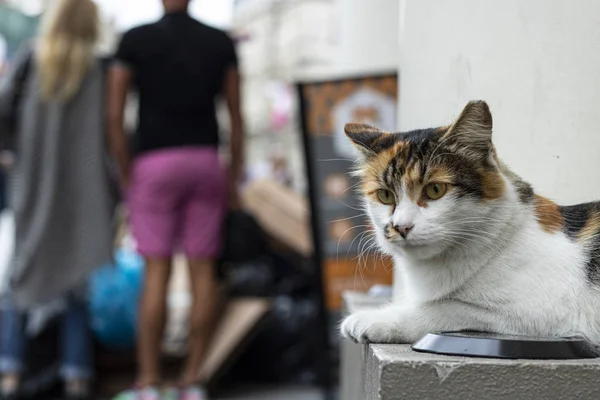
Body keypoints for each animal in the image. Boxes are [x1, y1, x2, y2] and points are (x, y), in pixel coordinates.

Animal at [340, 99, 600, 344]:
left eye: (435, 190)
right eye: (385, 195)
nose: (401, 226)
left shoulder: (536, 313)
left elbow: (446, 308)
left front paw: (375, 319)